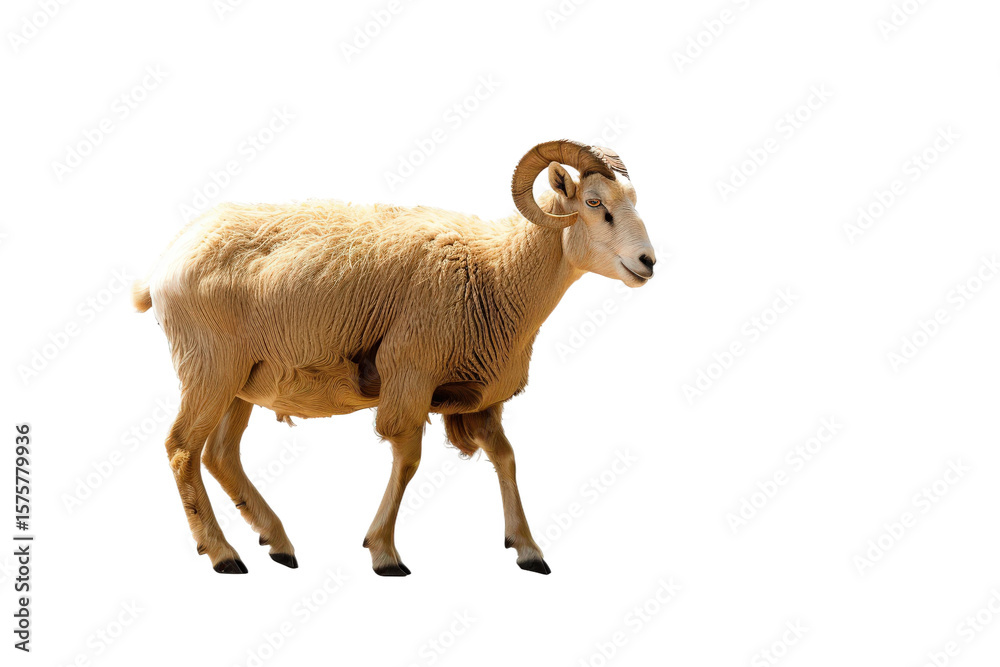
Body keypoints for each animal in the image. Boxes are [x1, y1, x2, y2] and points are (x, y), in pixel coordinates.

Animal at [133, 139, 656, 576]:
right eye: (594, 203)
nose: (649, 262)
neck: (496, 271)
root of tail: (165, 261)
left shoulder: (481, 396)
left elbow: (506, 457)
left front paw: (527, 548)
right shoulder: (410, 375)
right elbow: (408, 461)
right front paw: (384, 552)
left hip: (243, 379)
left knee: (221, 454)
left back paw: (277, 542)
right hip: (209, 367)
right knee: (182, 449)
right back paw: (223, 554)